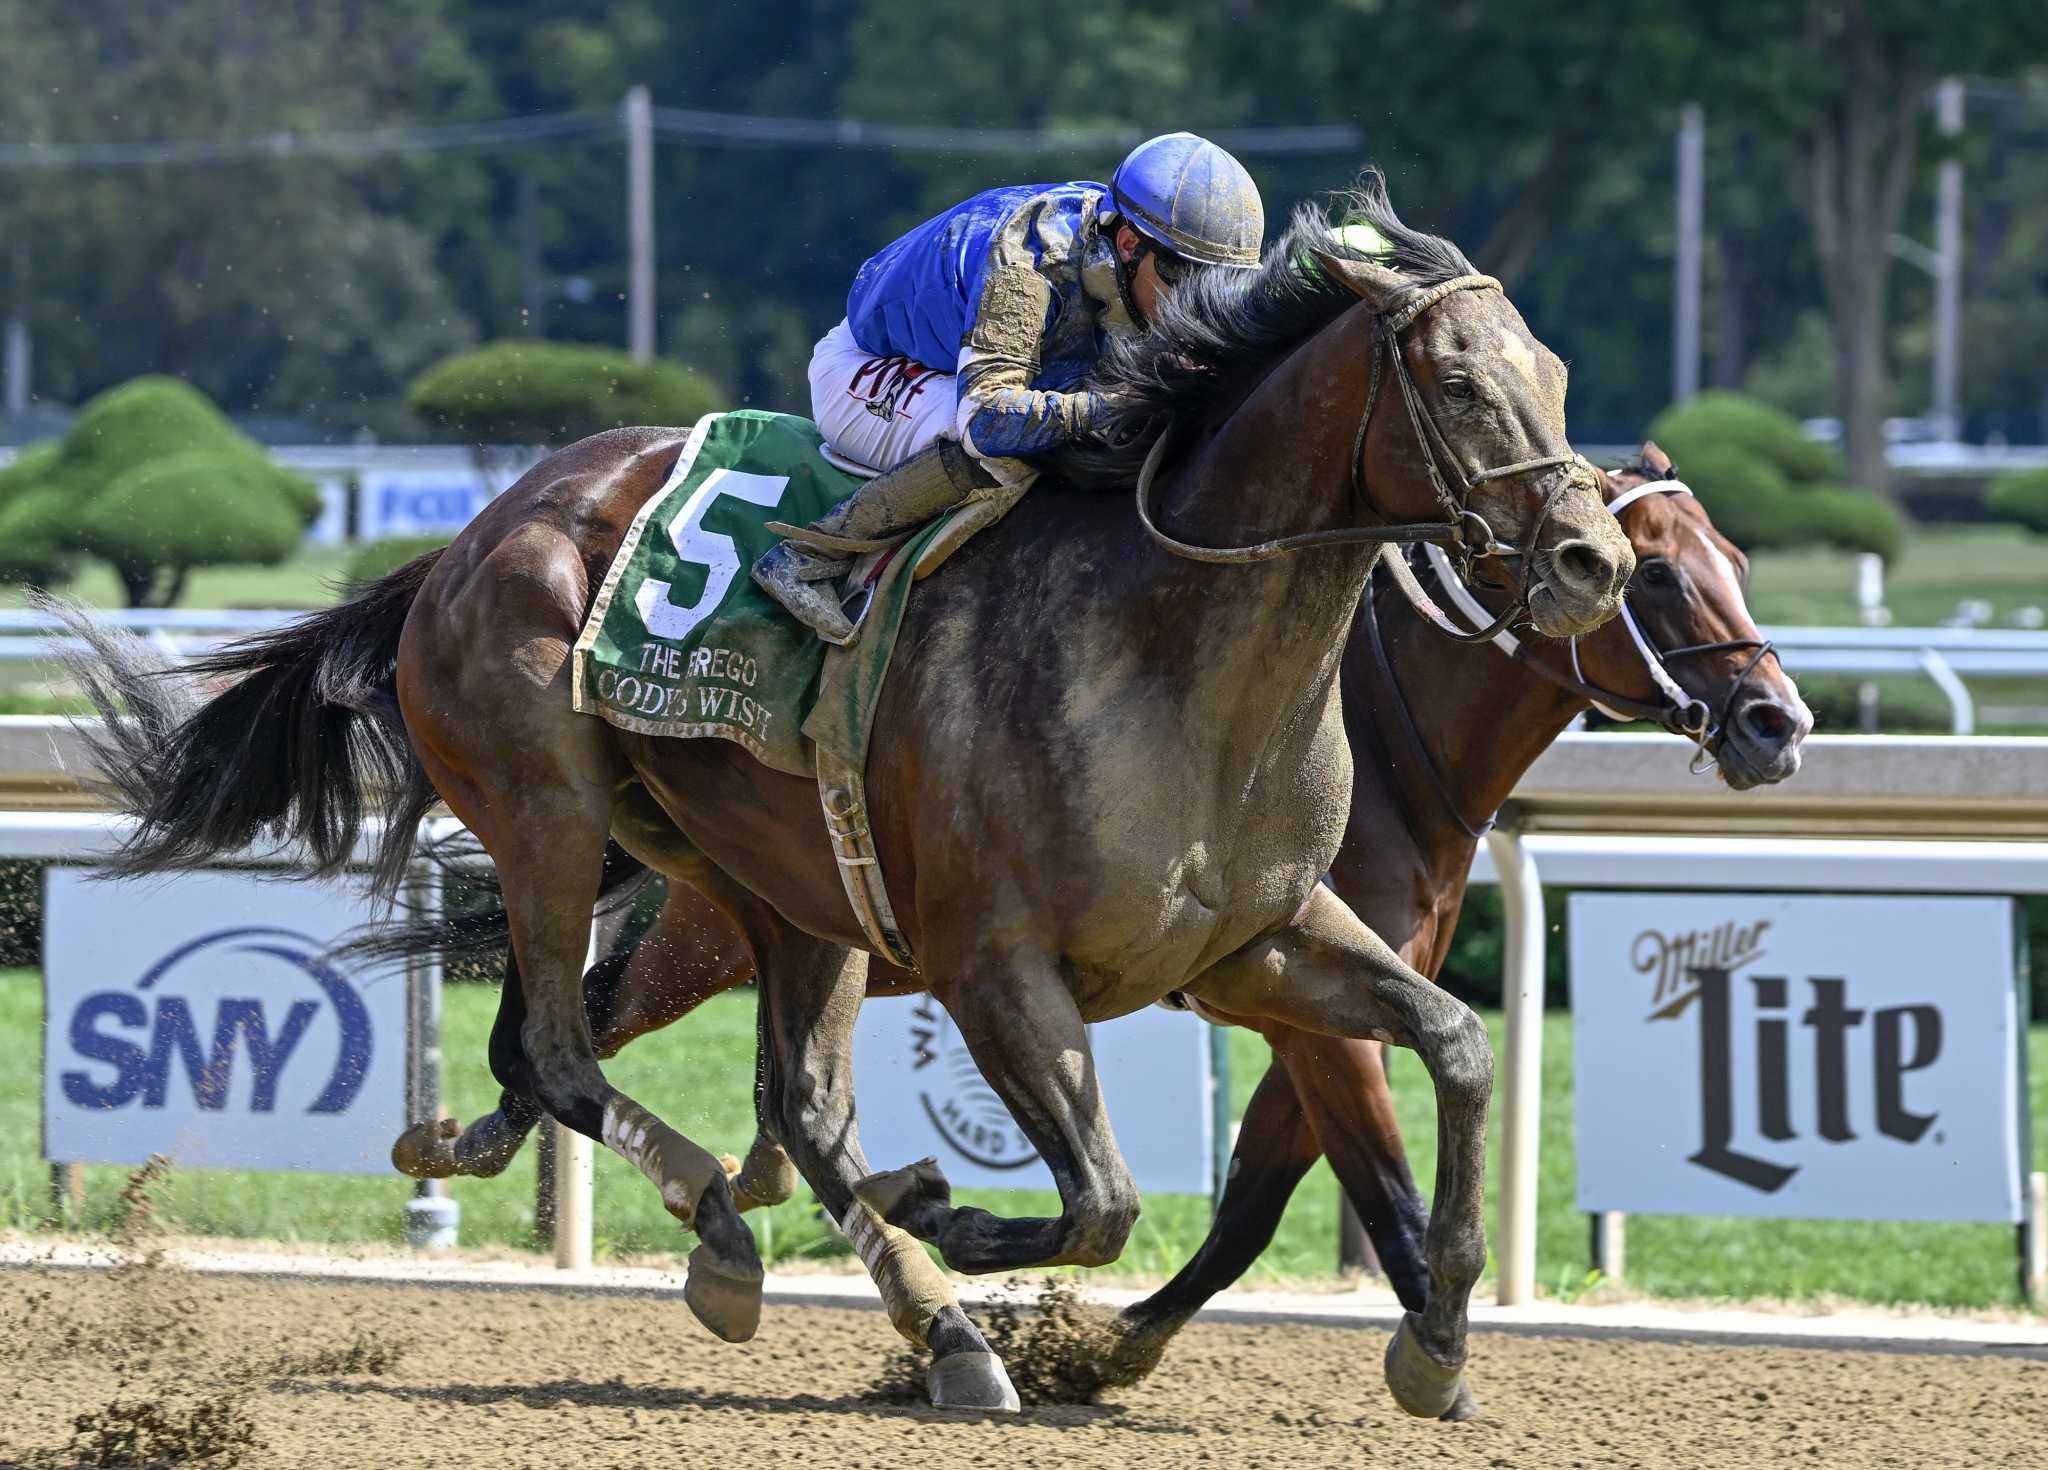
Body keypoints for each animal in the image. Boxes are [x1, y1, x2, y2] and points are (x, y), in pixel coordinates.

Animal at [64, 184, 1622, 1416]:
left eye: (1554, 373)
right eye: (1463, 387)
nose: (1590, 560)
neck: (1172, 649)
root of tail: (470, 535)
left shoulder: (1257, 939)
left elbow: (1455, 1047)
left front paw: (1436, 1337)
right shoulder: (997, 968)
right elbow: (1101, 1201)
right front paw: (955, 1212)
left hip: (780, 884)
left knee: (786, 1103)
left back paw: (933, 1331)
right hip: (549, 812)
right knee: (565, 1053)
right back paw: (739, 1241)